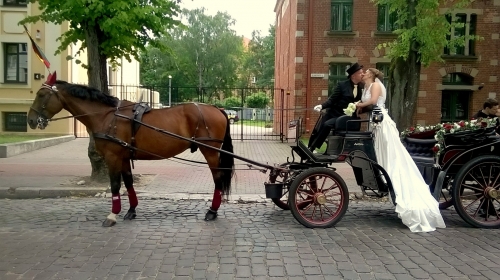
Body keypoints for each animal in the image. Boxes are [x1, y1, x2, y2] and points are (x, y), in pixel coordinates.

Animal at [28, 71, 235, 225]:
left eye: (41, 95)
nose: (30, 120)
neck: (107, 116)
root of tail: (217, 109)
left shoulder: (112, 157)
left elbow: (114, 185)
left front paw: (112, 215)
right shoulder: (124, 156)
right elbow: (128, 182)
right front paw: (131, 210)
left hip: (210, 151)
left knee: (217, 178)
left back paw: (212, 211)